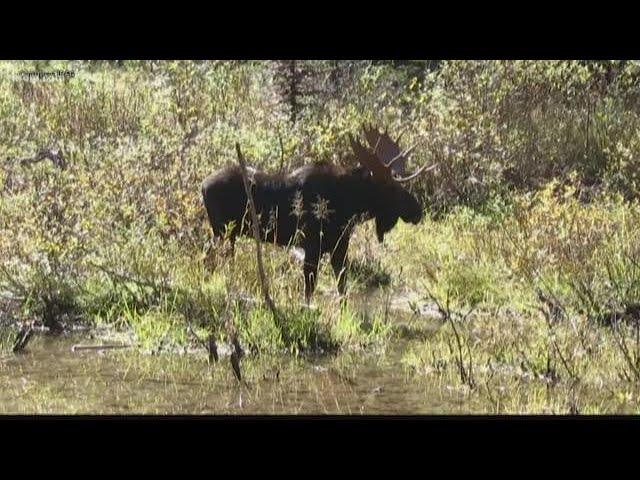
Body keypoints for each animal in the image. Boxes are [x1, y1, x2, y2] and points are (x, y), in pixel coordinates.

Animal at [204, 124, 436, 304]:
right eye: (390, 187)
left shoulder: (339, 246)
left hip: (226, 234)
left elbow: (342, 285)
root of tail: (202, 187)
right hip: (221, 231)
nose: (417, 210)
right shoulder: (312, 244)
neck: (349, 204)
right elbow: (310, 287)